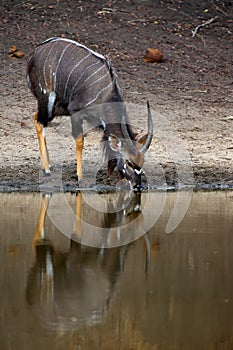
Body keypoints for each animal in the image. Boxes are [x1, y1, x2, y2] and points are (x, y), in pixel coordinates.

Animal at [26, 37, 153, 189]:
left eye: (142, 162)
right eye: (129, 162)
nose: (138, 185)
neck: (107, 93)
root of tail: (35, 52)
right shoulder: (75, 112)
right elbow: (80, 141)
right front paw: (80, 177)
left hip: (56, 108)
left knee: (36, 117)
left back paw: (49, 164)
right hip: (47, 99)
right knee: (40, 122)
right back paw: (46, 169)